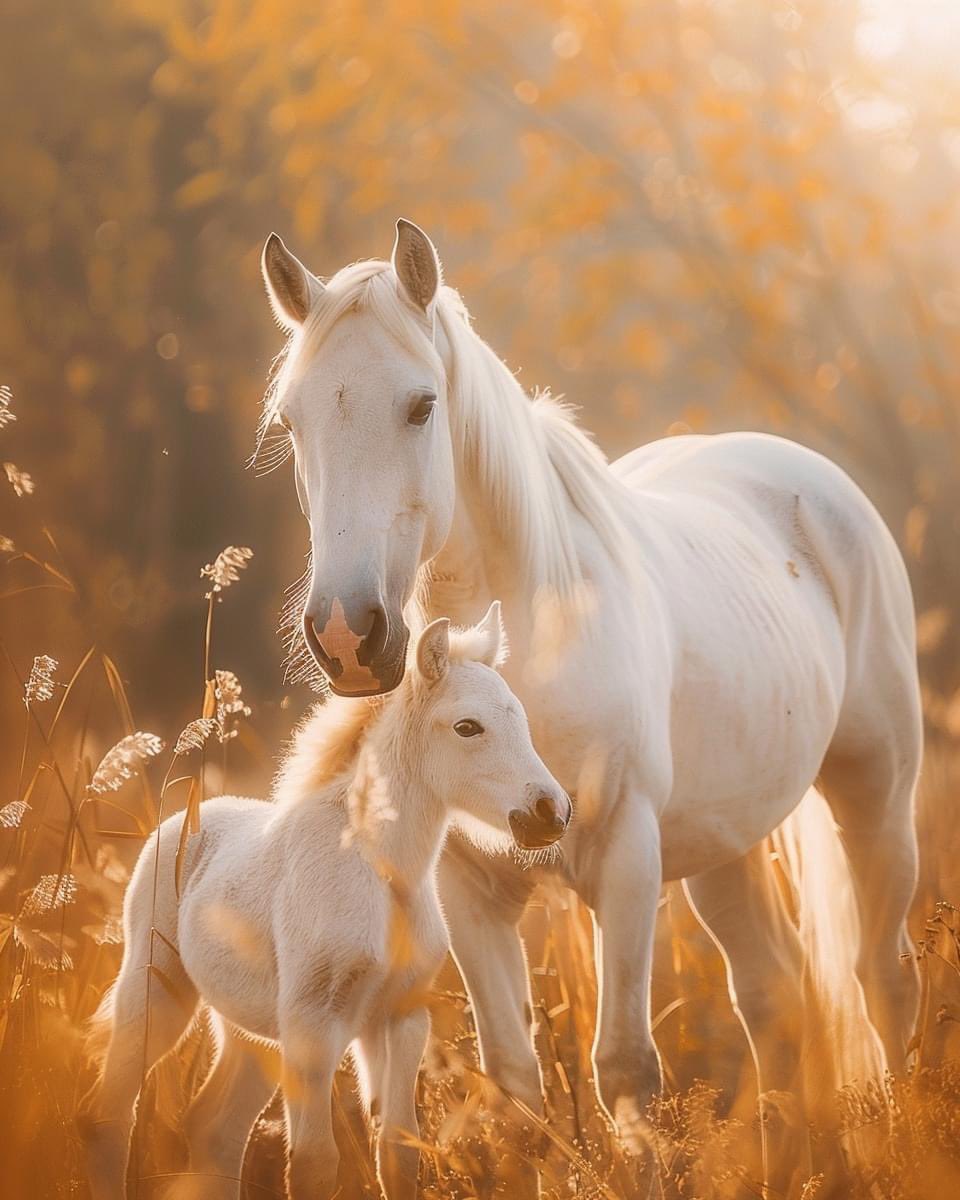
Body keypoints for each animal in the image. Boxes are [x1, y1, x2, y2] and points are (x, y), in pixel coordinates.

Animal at [80, 604, 571, 1200]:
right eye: (467, 727)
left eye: (521, 717)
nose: (551, 812)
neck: (384, 874)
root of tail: (185, 820)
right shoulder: (313, 1024)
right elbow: (314, 1162)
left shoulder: (399, 1019)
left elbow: (399, 1152)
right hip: (155, 990)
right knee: (108, 1115)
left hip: (253, 1034)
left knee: (214, 1128)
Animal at [256, 218, 922, 1192]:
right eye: (291, 420)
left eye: (420, 406)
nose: (348, 634)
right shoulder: (471, 891)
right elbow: (517, 1088)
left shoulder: (625, 856)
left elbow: (627, 1075)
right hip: (727, 849)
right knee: (774, 995)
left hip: (874, 798)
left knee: (884, 982)